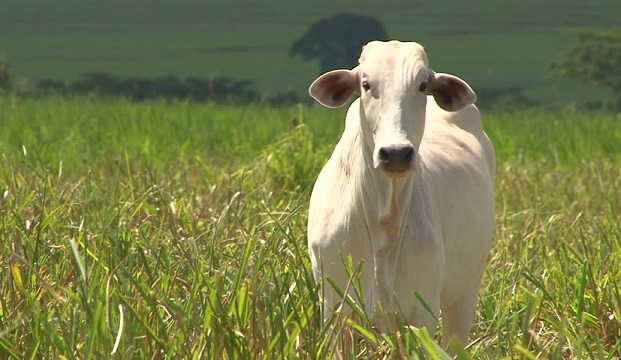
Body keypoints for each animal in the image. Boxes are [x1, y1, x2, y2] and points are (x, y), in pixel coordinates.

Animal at [306, 40, 494, 348]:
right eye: (366, 84)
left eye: (422, 85)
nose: (396, 153)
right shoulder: (335, 307)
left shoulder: (422, 313)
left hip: (465, 291)